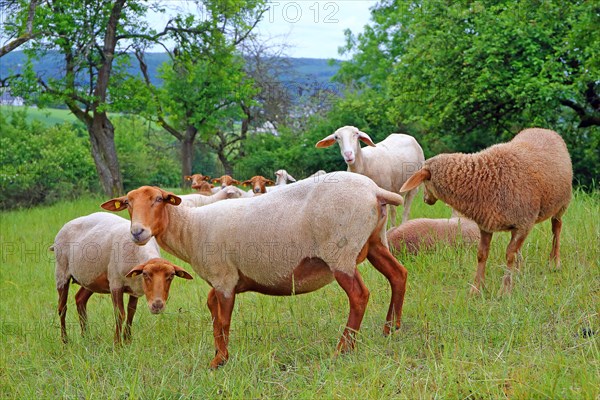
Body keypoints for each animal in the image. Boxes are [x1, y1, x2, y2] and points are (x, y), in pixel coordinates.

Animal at [51, 212, 193, 344]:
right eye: (146, 274)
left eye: (171, 276)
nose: (157, 306)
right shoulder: (115, 283)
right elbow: (120, 314)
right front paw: (117, 344)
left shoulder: (135, 288)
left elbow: (131, 312)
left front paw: (128, 341)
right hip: (61, 271)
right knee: (62, 308)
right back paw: (65, 340)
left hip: (91, 278)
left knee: (80, 299)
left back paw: (86, 337)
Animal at [103, 173, 410, 370]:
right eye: (128, 203)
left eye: (158, 200)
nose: (137, 232)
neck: (191, 228)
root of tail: (375, 190)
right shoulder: (223, 279)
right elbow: (213, 313)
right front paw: (217, 353)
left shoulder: (224, 277)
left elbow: (224, 320)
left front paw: (220, 360)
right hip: (375, 241)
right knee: (398, 275)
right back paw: (390, 329)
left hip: (341, 253)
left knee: (359, 295)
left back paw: (343, 349)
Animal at [398, 128, 572, 294]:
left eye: (424, 182)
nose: (425, 200)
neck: (484, 179)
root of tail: (546, 130)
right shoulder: (486, 223)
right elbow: (482, 254)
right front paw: (476, 289)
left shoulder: (524, 224)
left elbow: (509, 255)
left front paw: (505, 290)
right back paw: (519, 270)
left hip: (562, 203)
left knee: (556, 228)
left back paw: (554, 262)